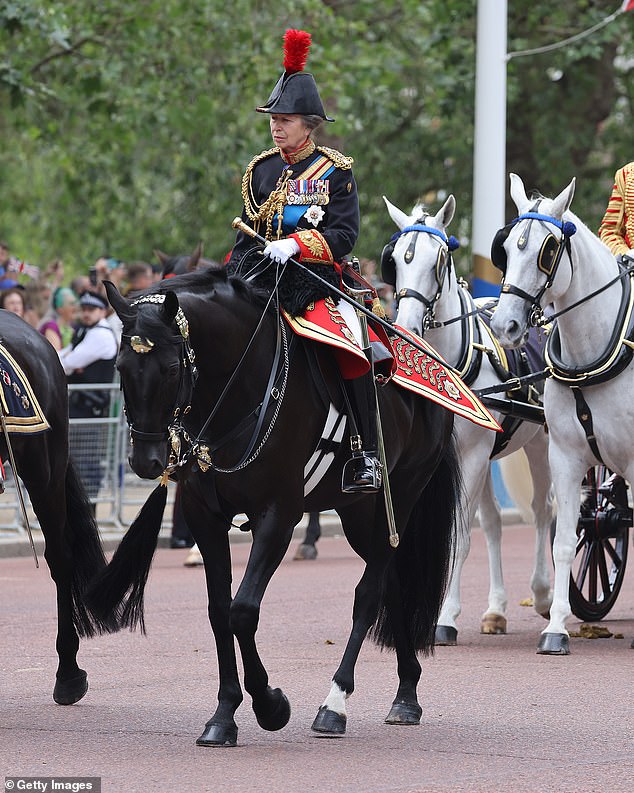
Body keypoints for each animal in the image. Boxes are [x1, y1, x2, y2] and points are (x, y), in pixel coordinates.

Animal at [84, 270, 460, 744]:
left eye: (170, 368)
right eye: (121, 368)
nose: (146, 461)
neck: (238, 390)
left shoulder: (279, 515)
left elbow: (243, 611)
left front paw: (270, 704)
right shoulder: (205, 518)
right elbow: (219, 612)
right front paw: (224, 715)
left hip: (404, 492)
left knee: (369, 593)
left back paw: (335, 703)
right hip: (360, 512)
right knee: (389, 581)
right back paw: (406, 693)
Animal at [382, 196, 552, 644]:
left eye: (439, 260)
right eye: (396, 260)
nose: (405, 327)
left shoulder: (472, 454)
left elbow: (457, 534)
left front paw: (444, 618)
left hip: (543, 444)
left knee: (543, 511)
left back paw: (544, 595)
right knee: (492, 523)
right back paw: (496, 611)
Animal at [488, 173, 632, 656]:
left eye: (548, 249)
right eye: (505, 247)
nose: (505, 327)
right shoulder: (567, 458)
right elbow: (567, 542)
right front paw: (556, 629)